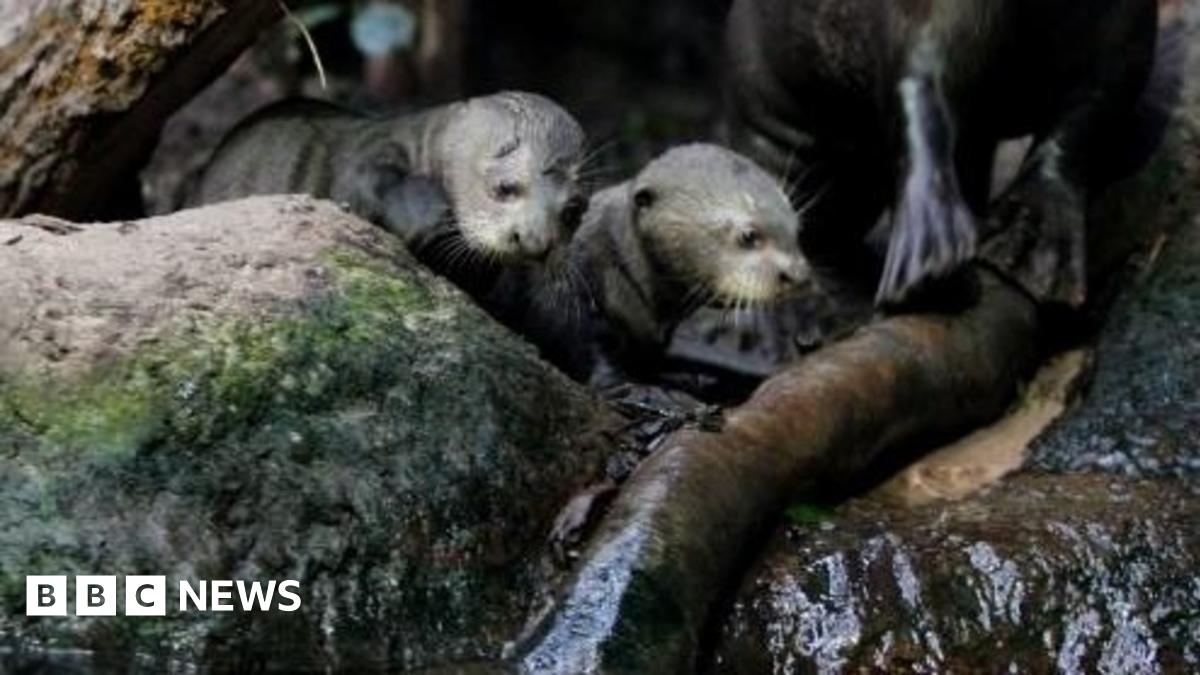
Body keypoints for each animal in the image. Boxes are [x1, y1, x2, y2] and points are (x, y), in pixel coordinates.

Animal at [189, 92, 589, 296]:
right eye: (505, 187)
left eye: (573, 211)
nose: (537, 243)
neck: (421, 147)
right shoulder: (366, 156)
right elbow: (367, 183)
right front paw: (429, 218)